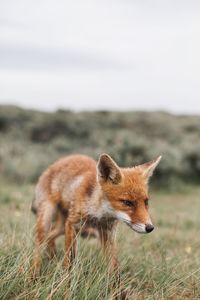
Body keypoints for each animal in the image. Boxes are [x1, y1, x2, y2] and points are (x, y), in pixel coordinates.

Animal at [32, 154, 162, 276]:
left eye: (146, 202)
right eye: (127, 202)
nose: (150, 227)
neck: (99, 215)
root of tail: (54, 165)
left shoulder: (108, 232)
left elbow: (114, 266)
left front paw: (116, 285)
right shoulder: (72, 223)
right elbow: (69, 260)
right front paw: (66, 281)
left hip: (63, 226)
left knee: (50, 236)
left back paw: (52, 258)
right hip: (48, 217)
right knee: (39, 243)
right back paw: (35, 273)